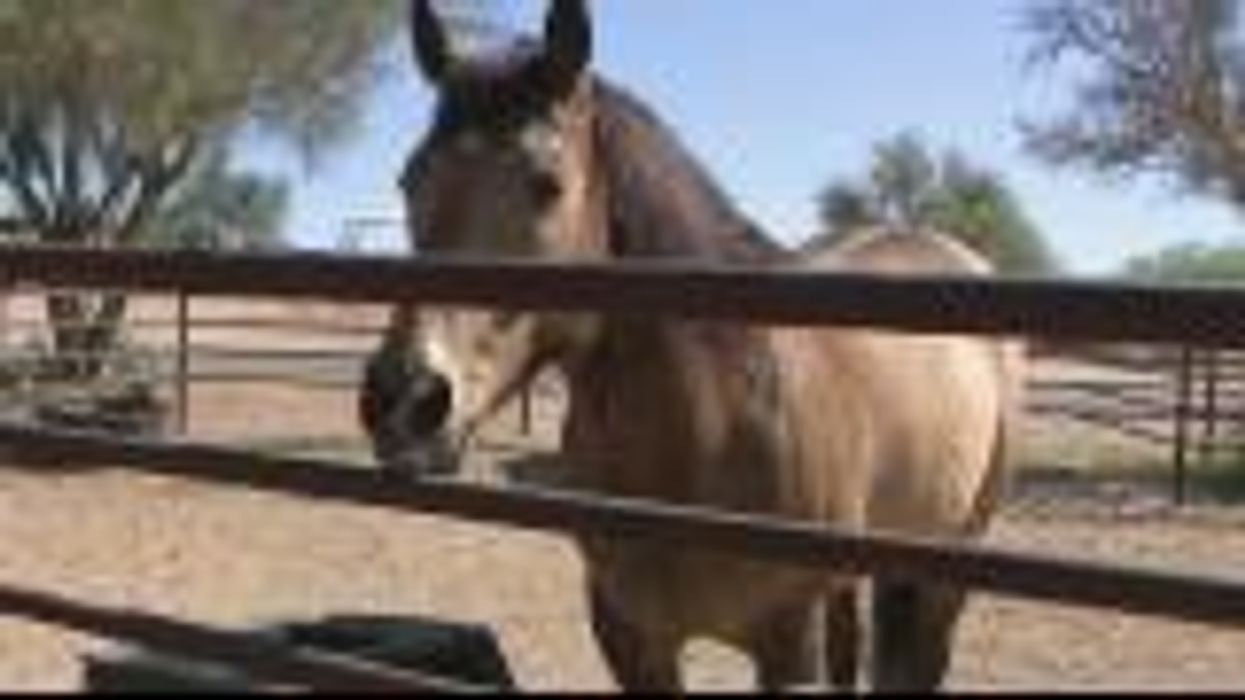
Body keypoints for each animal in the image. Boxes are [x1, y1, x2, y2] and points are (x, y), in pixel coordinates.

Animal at [373, 0, 1026, 690]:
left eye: (546, 183)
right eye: (409, 180)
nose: (404, 400)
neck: (710, 426)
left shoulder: (788, 646)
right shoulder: (633, 639)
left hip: (946, 570)